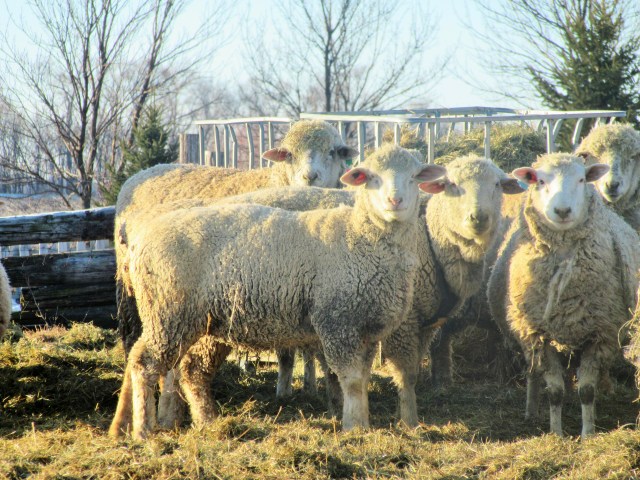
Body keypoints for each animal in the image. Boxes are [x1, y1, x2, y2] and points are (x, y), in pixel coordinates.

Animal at [108, 145, 446, 439]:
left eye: (415, 177)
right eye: (371, 177)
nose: (394, 200)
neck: (361, 236)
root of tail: (140, 239)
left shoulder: (366, 329)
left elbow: (361, 380)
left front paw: (361, 423)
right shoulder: (336, 321)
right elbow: (349, 381)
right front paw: (354, 427)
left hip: (200, 322)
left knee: (190, 369)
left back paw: (208, 423)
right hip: (168, 312)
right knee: (145, 363)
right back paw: (144, 430)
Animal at [487, 153, 640, 438]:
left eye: (581, 179)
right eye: (540, 180)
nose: (562, 211)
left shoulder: (598, 334)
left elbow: (587, 391)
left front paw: (588, 433)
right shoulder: (539, 335)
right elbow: (555, 393)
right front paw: (556, 433)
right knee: (533, 374)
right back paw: (531, 410)